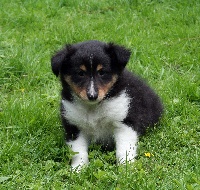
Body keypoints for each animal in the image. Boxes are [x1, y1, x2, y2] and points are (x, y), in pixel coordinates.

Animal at [50, 40, 163, 171]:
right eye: (80, 73)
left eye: (102, 72)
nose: (92, 96)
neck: (93, 107)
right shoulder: (74, 126)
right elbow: (78, 151)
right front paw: (78, 169)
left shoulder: (124, 123)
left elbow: (124, 149)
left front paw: (126, 167)